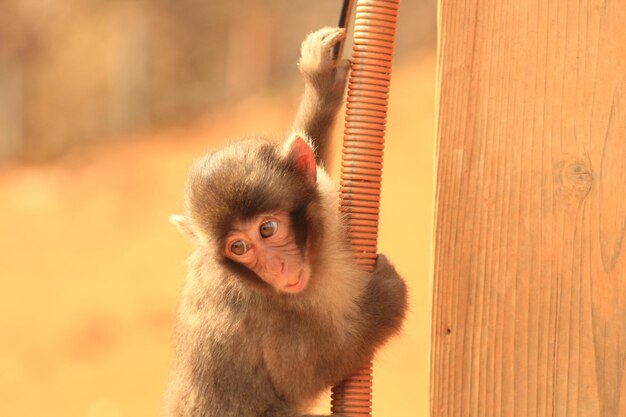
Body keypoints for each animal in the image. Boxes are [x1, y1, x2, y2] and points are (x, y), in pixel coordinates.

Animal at [162, 27, 404, 414]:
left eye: (267, 229)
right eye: (239, 247)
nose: (276, 267)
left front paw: (321, 86)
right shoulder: (264, 315)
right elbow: (305, 377)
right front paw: (386, 299)